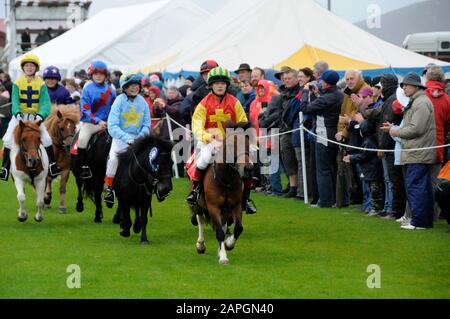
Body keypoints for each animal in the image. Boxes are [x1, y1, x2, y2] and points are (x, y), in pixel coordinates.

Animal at [189, 122, 255, 264]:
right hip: (198, 204)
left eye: (247, 144)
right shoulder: (213, 207)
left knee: (224, 226)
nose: (248, 169)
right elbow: (219, 231)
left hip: (225, 211)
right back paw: (200, 245)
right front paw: (224, 258)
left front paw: (228, 245)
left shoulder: (235, 206)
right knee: (200, 219)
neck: (226, 180)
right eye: (230, 145)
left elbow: (238, 228)